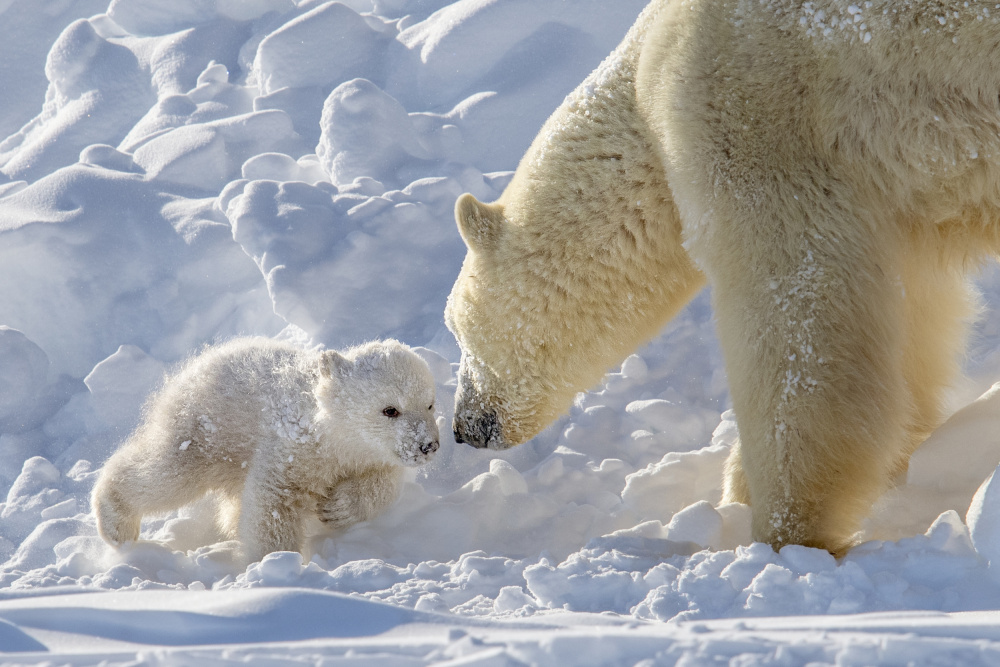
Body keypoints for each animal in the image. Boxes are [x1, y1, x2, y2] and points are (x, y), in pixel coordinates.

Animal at [448, 0, 1000, 556]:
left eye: (458, 331)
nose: (465, 427)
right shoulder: (890, 200)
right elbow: (910, 319)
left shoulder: (752, 125)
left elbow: (798, 313)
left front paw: (783, 530)